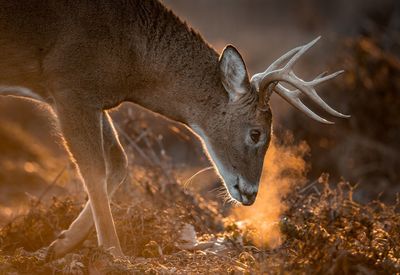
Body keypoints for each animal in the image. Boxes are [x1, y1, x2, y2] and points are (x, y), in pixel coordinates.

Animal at [0, 0, 348, 260]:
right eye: (256, 133)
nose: (251, 194)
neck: (132, 55)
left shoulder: (93, 101)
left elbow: (119, 164)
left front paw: (59, 244)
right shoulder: (69, 86)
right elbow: (94, 171)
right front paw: (114, 253)